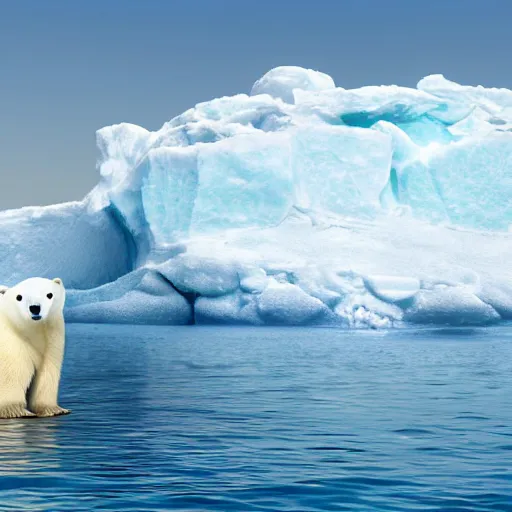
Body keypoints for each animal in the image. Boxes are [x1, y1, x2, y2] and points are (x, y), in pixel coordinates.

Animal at [0, 278, 69, 418]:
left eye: (49, 294)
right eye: (19, 297)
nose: (35, 308)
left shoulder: (52, 339)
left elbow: (47, 373)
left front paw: (53, 409)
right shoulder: (11, 339)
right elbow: (13, 371)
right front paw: (15, 410)